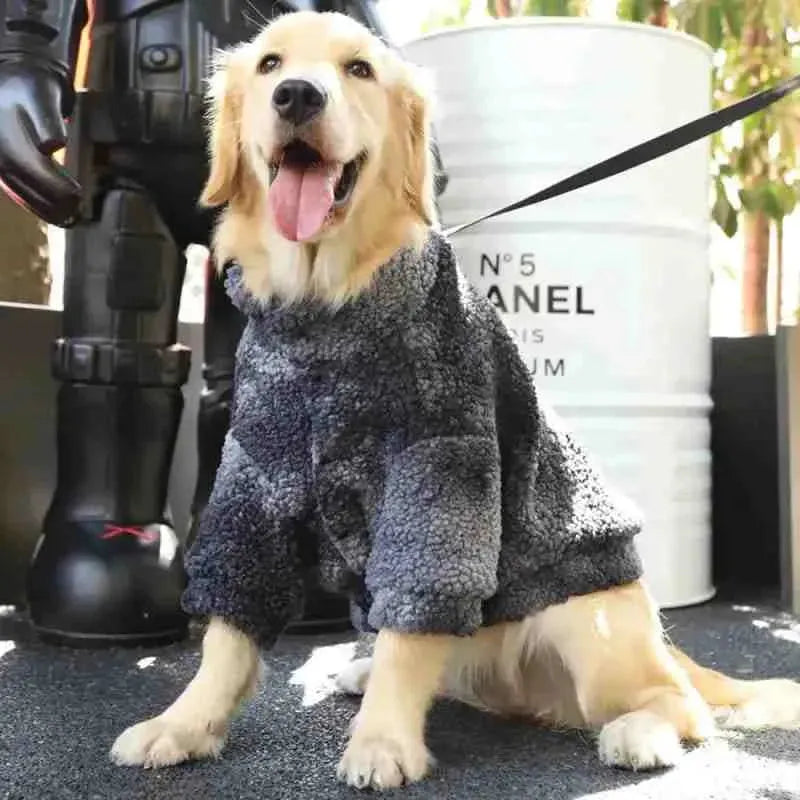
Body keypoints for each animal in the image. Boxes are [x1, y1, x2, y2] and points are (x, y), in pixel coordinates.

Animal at [111, 9, 800, 792]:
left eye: (358, 69)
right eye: (270, 65)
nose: (297, 97)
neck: (325, 308)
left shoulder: (440, 463)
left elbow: (416, 617)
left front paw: (382, 740)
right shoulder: (256, 472)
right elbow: (230, 630)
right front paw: (184, 723)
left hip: (590, 620)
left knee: (681, 705)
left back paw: (640, 733)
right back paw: (361, 671)